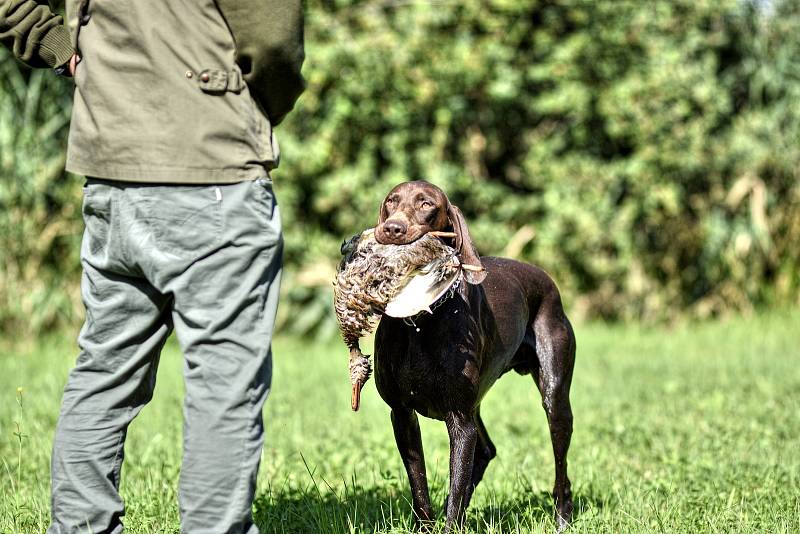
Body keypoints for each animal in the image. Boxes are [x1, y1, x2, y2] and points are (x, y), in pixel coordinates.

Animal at [374, 182, 576, 532]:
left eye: (427, 204)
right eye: (391, 201)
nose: (393, 229)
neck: (421, 320)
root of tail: (547, 280)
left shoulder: (459, 419)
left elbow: (455, 486)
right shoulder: (402, 414)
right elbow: (419, 485)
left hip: (554, 398)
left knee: (560, 467)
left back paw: (562, 519)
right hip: (477, 402)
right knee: (485, 451)